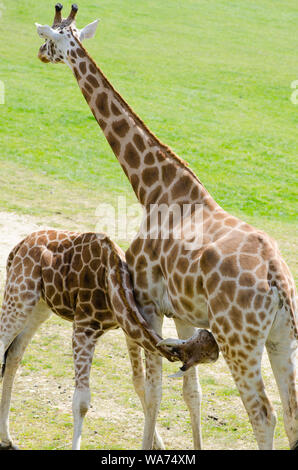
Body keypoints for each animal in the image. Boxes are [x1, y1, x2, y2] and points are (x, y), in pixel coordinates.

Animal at [0, 229, 219, 450]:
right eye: (211, 357)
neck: (113, 282)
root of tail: (18, 246)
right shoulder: (83, 327)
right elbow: (82, 402)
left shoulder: (127, 328)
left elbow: (139, 382)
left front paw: (158, 443)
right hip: (19, 295)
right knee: (4, 345)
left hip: (39, 307)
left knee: (14, 353)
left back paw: (8, 439)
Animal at [36, 4, 296, 452]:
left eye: (51, 39)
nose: (39, 53)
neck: (153, 190)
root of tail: (277, 277)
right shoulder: (183, 313)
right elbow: (192, 392)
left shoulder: (147, 303)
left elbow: (155, 390)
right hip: (282, 337)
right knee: (292, 413)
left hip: (240, 341)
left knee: (264, 415)